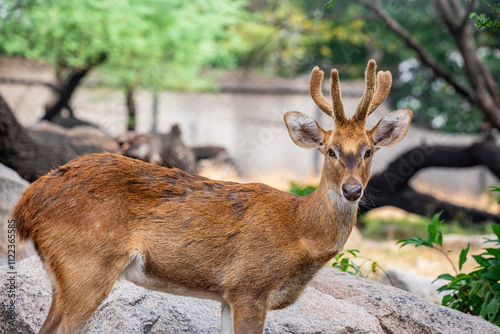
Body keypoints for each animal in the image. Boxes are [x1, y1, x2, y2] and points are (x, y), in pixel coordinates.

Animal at [12, 58, 410, 332]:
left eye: (369, 150)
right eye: (330, 150)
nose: (352, 190)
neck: (299, 231)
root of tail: (26, 203)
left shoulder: (227, 294)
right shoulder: (249, 285)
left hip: (64, 275)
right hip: (87, 266)